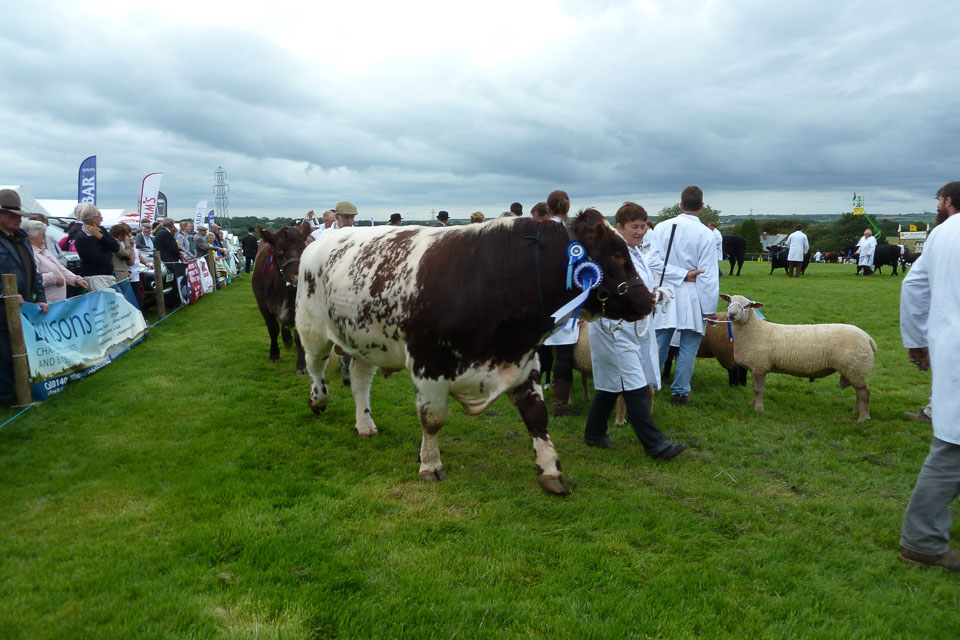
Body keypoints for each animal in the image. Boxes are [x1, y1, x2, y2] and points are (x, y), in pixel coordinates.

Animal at [251, 224, 312, 376]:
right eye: (279, 249)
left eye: (303, 247)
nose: (297, 276)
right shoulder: (263, 305)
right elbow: (273, 329)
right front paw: (274, 355)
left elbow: (298, 335)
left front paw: (301, 365)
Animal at [292, 210, 652, 496]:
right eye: (617, 256)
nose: (649, 299)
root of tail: (320, 240)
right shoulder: (429, 364)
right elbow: (433, 419)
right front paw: (430, 465)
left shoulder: (523, 361)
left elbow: (537, 416)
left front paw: (550, 470)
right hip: (311, 328)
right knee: (315, 367)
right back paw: (318, 400)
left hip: (366, 340)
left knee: (359, 379)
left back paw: (365, 424)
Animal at [720, 294, 876, 420]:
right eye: (730, 301)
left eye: (747, 305)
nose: (732, 314)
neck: (754, 330)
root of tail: (867, 338)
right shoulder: (756, 367)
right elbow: (754, 388)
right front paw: (751, 404)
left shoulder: (760, 367)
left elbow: (758, 389)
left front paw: (758, 409)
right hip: (853, 369)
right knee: (859, 392)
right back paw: (856, 412)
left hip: (855, 367)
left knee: (865, 392)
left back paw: (863, 418)